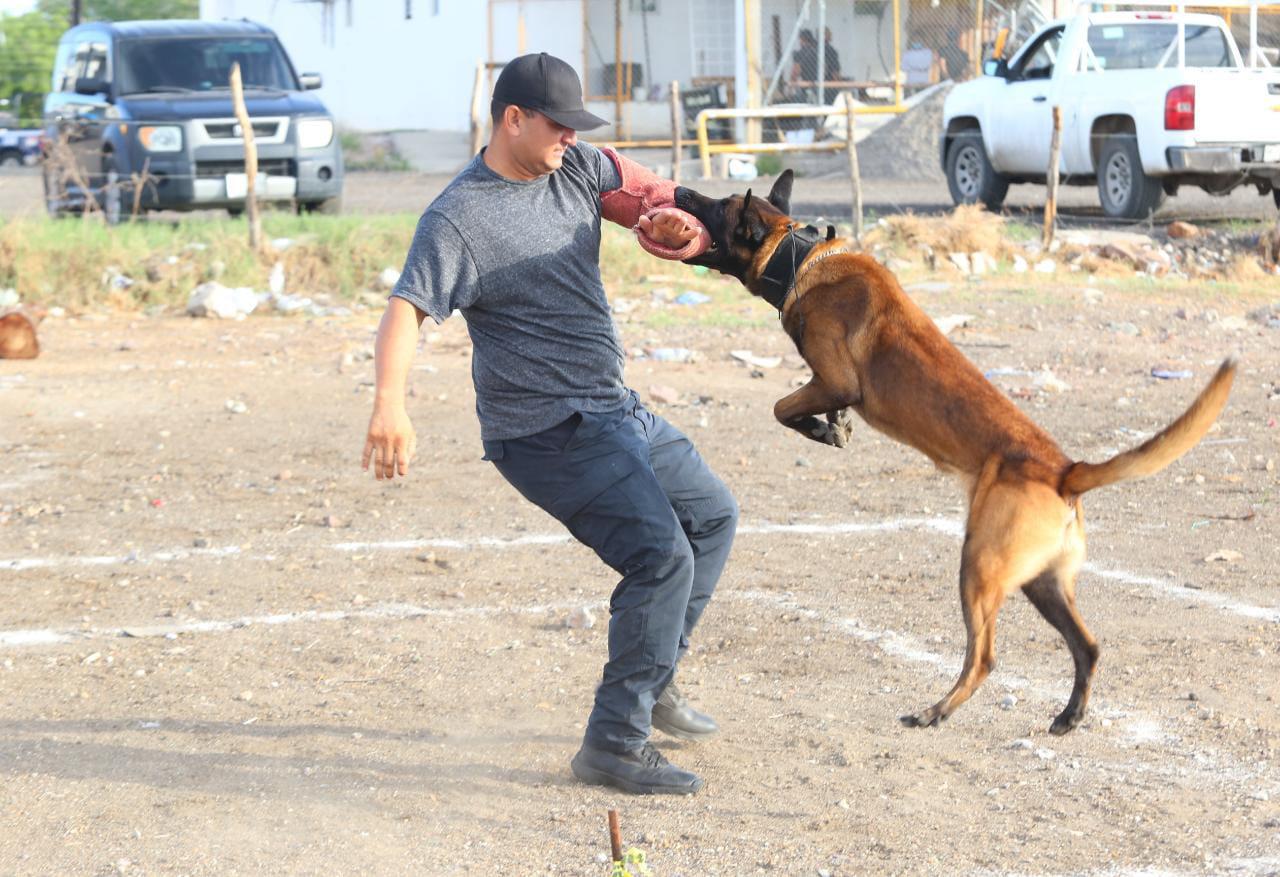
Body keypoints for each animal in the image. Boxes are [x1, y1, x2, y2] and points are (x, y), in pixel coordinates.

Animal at [675, 168, 1233, 732]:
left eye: (719, 204)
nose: (678, 191)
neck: (800, 256)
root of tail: (1065, 471)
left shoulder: (835, 380)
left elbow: (781, 407)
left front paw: (823, 430)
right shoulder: (828, 386)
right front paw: (834, 426)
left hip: (978, 567)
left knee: (983, 658)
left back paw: (935, 711)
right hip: (1043, 583)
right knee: (1088, 646)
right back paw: (1068, 715)